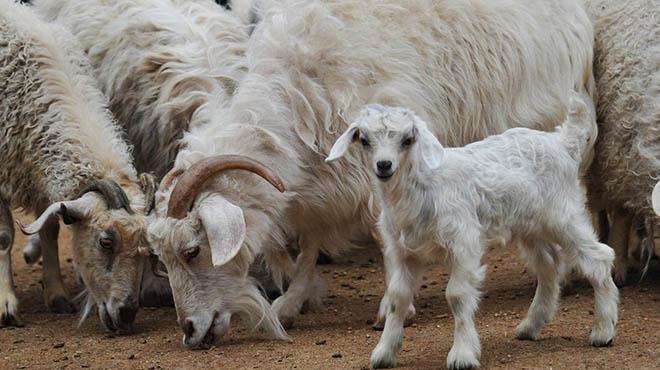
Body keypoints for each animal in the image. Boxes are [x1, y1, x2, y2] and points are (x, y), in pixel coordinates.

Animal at [0, 0, 153, 330]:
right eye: (106, 242)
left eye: (147, 248)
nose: (126, 314)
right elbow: (4, 236)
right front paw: (5, 303)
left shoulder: (40, 177)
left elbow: (49, 230)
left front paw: (56, 295)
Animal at [146, 0, 600, 350]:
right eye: (163, 260)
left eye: (192, 250)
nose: (189, 331)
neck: (299, 94)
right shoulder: (320, 189)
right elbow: (308, 247)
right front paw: (290, 302)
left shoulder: (378, 171)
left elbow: (384, 241)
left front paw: (394, 307)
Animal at [328, 97, 620, 368]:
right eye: (364, 139)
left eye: (407, 139)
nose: (384, 165)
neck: (424, 187)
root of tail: (561, 142)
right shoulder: (403, 252)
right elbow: (396, 298)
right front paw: (384, 353)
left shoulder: (463, 242)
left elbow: (457, 296)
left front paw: (462, 354)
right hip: (530, 226)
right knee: (549, 266)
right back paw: (531, 326)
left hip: (563, 216)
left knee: (599, 257)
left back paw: (603, 330)